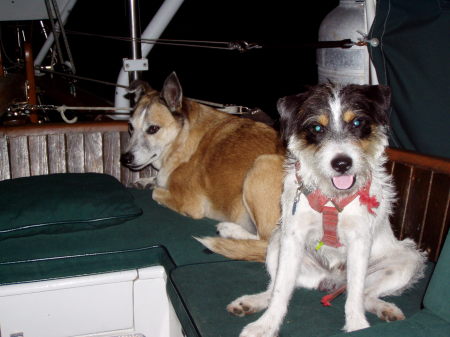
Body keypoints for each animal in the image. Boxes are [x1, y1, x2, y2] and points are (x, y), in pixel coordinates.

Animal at [121, 72, 284, 262]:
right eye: (130, 127)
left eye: (153, 129)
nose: (125, 158)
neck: (181, 140)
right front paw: (146, 181)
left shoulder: (190, 203)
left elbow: (156, 192)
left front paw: (154, 185)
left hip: (262, 164)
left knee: (266, 242)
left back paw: (230, 231)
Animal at [229, 82, 426, 334]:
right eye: (316, 127)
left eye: (357, 123)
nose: (342, 164)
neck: (334, 197)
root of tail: (334, 280)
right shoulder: (293, 237)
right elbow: (281, 290)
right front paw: (266, 326)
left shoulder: (359, 241)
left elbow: (355, 297)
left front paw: (357, 326)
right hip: (276, 244)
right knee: (276, 287)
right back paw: (252, 302)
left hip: (406, 260)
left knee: (365, 294)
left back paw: (385, 308)